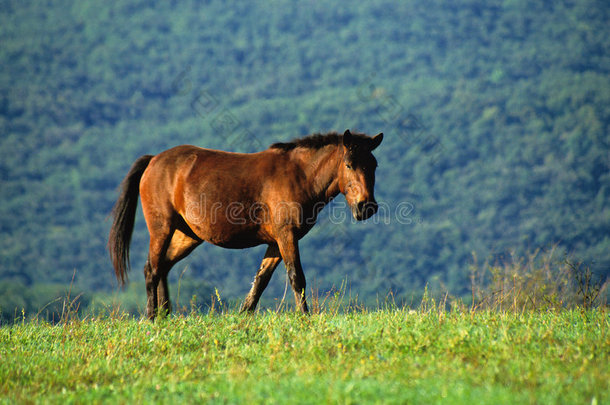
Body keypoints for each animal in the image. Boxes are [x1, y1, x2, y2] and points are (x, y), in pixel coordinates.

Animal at [106, 128, 378, 318]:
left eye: (374, 165)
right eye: (349, 164)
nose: (367, 207)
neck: (299, 175)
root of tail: (153, 161)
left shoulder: (276, 242)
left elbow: (260, 281)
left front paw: (243, 316)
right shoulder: (286, 236)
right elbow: (296, 277)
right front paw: (305, 317)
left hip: (187, 236)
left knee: (162, 267)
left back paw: (164, 315)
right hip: (161, 229)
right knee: (151, 269)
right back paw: (152, 318)